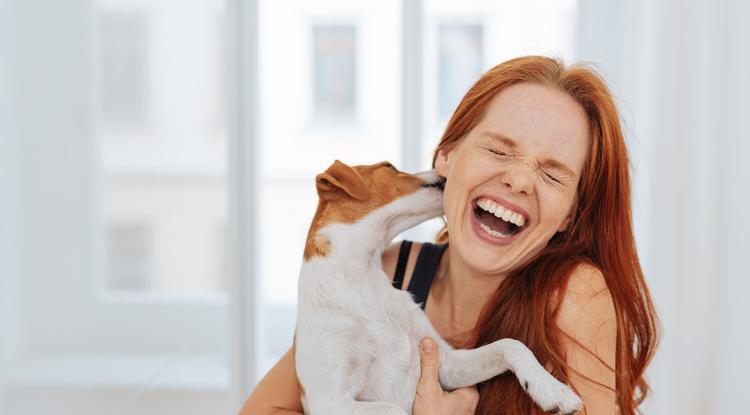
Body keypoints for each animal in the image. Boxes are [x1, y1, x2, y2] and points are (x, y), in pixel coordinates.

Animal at [296, 160, 588, 415]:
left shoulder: (447, 365)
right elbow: (394, 409)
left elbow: (510, 344)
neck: (363, 281)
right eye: (390, 166)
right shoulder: (331, 402)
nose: (444, 172)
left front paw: (552, 390)